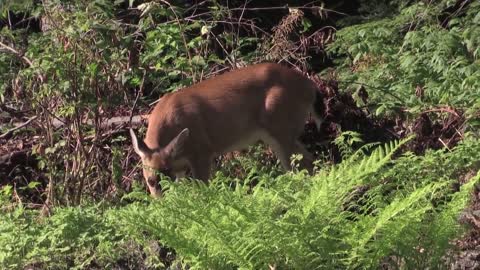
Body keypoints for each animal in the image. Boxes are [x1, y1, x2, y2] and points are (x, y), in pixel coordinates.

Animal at [131, 64, 324, 197]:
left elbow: (202, 189)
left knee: (299, 167)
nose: (162, 203)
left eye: (167, 179)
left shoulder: (202, 151)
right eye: (150, 181)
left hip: (281, 127)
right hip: (282, 133)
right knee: (308, 160)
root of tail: (310, 86)